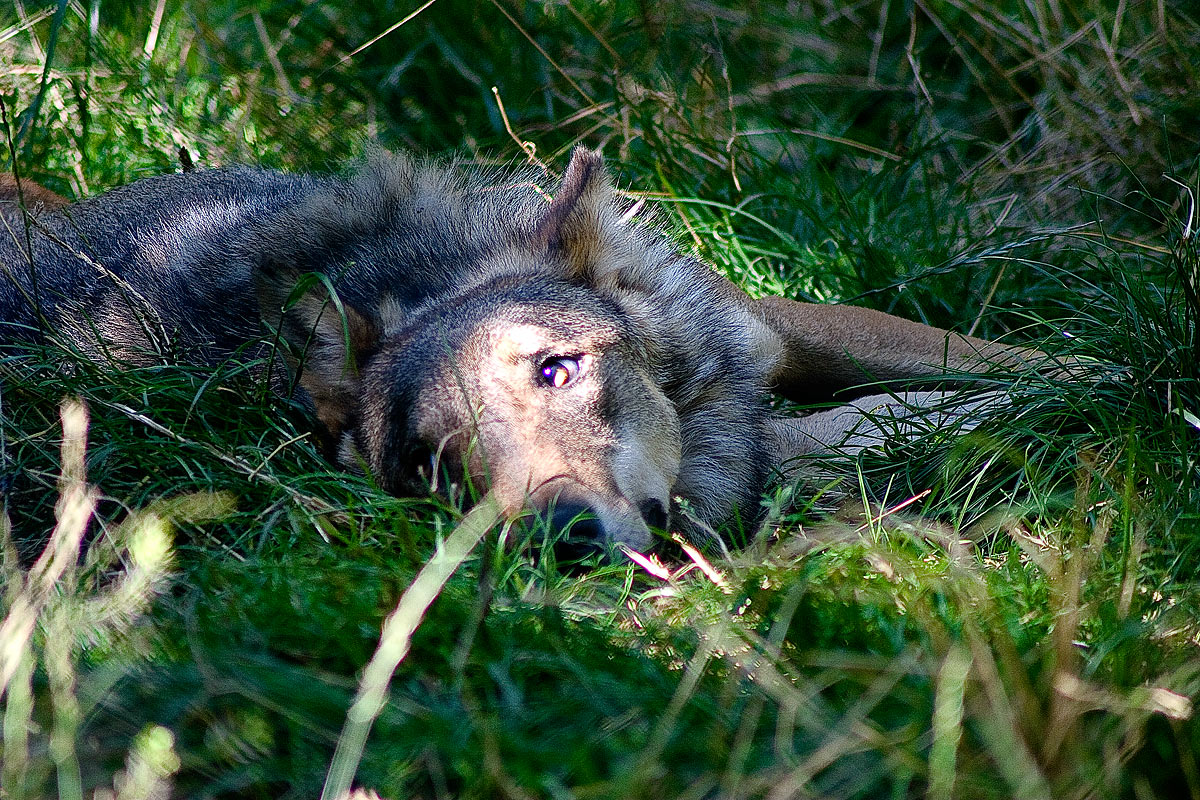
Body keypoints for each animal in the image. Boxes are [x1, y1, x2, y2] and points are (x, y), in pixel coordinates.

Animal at [0, 149, 1037, 552]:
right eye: (432, 464)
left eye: (555, 370)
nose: (559, 533)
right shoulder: (762, 450)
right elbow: (873, 420)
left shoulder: (773, 323)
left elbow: (990, 360)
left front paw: (1070, 382)